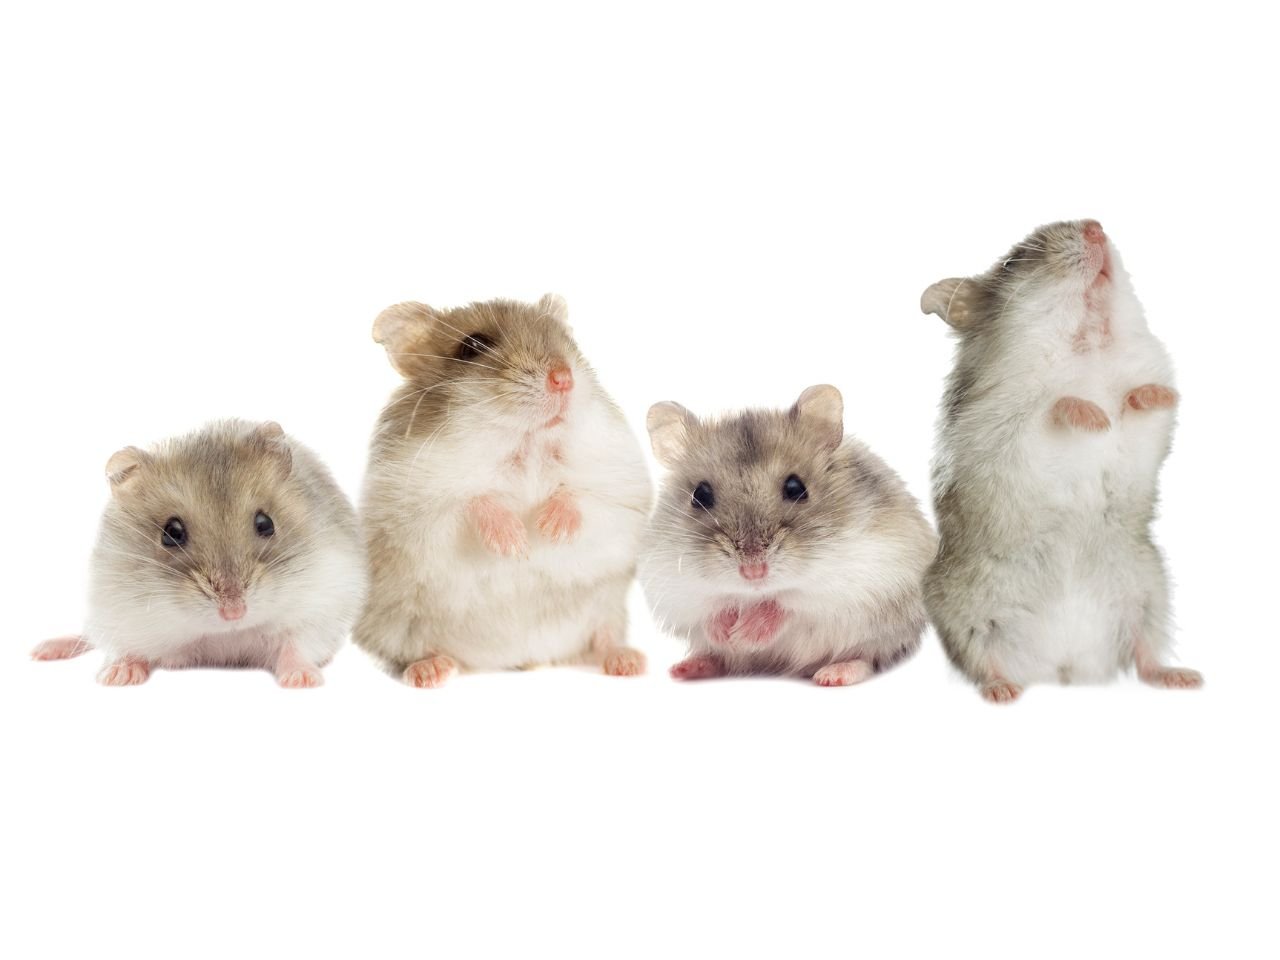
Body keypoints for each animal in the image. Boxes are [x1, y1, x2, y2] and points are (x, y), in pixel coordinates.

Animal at [30, 420, 368, 687]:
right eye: (171, 533)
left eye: (266, 523)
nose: (234, 612)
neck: (224, 635)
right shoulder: (120, 611)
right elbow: (127, 649)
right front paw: (117, 676)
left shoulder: (321, 605)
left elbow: (296, 646)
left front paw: (302, 680)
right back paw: (45, 649)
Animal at [354, 294, 652, 685]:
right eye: (473, 346)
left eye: (567, 340)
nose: (563, 379)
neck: (527, 443)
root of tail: (516, 656)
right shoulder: (413, 510)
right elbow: (472, 501)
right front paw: (516, 546)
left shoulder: (621, 493)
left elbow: (584, 496)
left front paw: (549, 529)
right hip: (394, 624)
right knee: (411, 652)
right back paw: (430, 670)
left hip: (606, 609)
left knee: (601, 639)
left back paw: (628, 662)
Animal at [638, 385, 937, 684]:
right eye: (699, 495)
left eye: (796, 488)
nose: (753, 571)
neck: (753, 594)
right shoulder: (673, 585)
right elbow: (710, 607)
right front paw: (727, 635)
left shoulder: (860, 575)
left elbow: (788, 601)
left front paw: (743, 634)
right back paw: (686, 668)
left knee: (867, 658)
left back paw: (833, 675)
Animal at [920, 218, 1202, 703]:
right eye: (1014, 260)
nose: (1095, 227)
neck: (1086, 347)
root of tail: (1061, 666)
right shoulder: (999, 432)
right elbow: (1046, 410)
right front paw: (1092, 415)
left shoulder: (1144, 431)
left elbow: (1142, 409)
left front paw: (1151, 397)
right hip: (962, 612)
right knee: (981, 659)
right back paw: (1002, 689)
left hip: (1149, 592)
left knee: (1144, 656)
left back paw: (1182, 677)